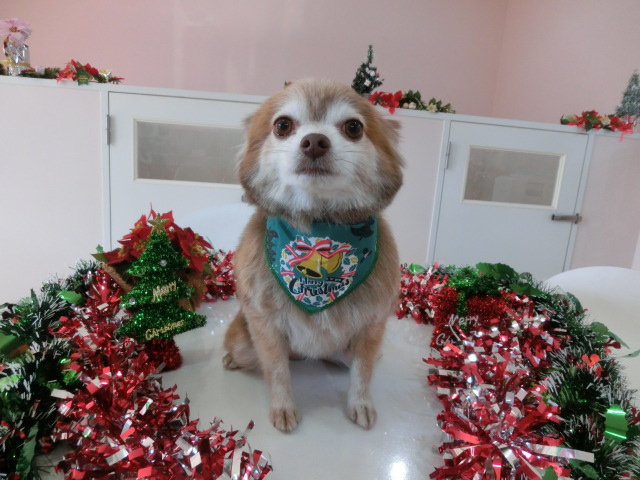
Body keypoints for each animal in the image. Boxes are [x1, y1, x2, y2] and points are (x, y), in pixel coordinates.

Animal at [222, 78, 404, 432]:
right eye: (282, 125)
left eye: (353, 127)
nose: (315, 141)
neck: (319, 226)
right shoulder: (265, 324)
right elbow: (277, 370)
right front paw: (283, 407)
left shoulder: (371, 326)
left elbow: (363, 373)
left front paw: (360, 404)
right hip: (244, 342)